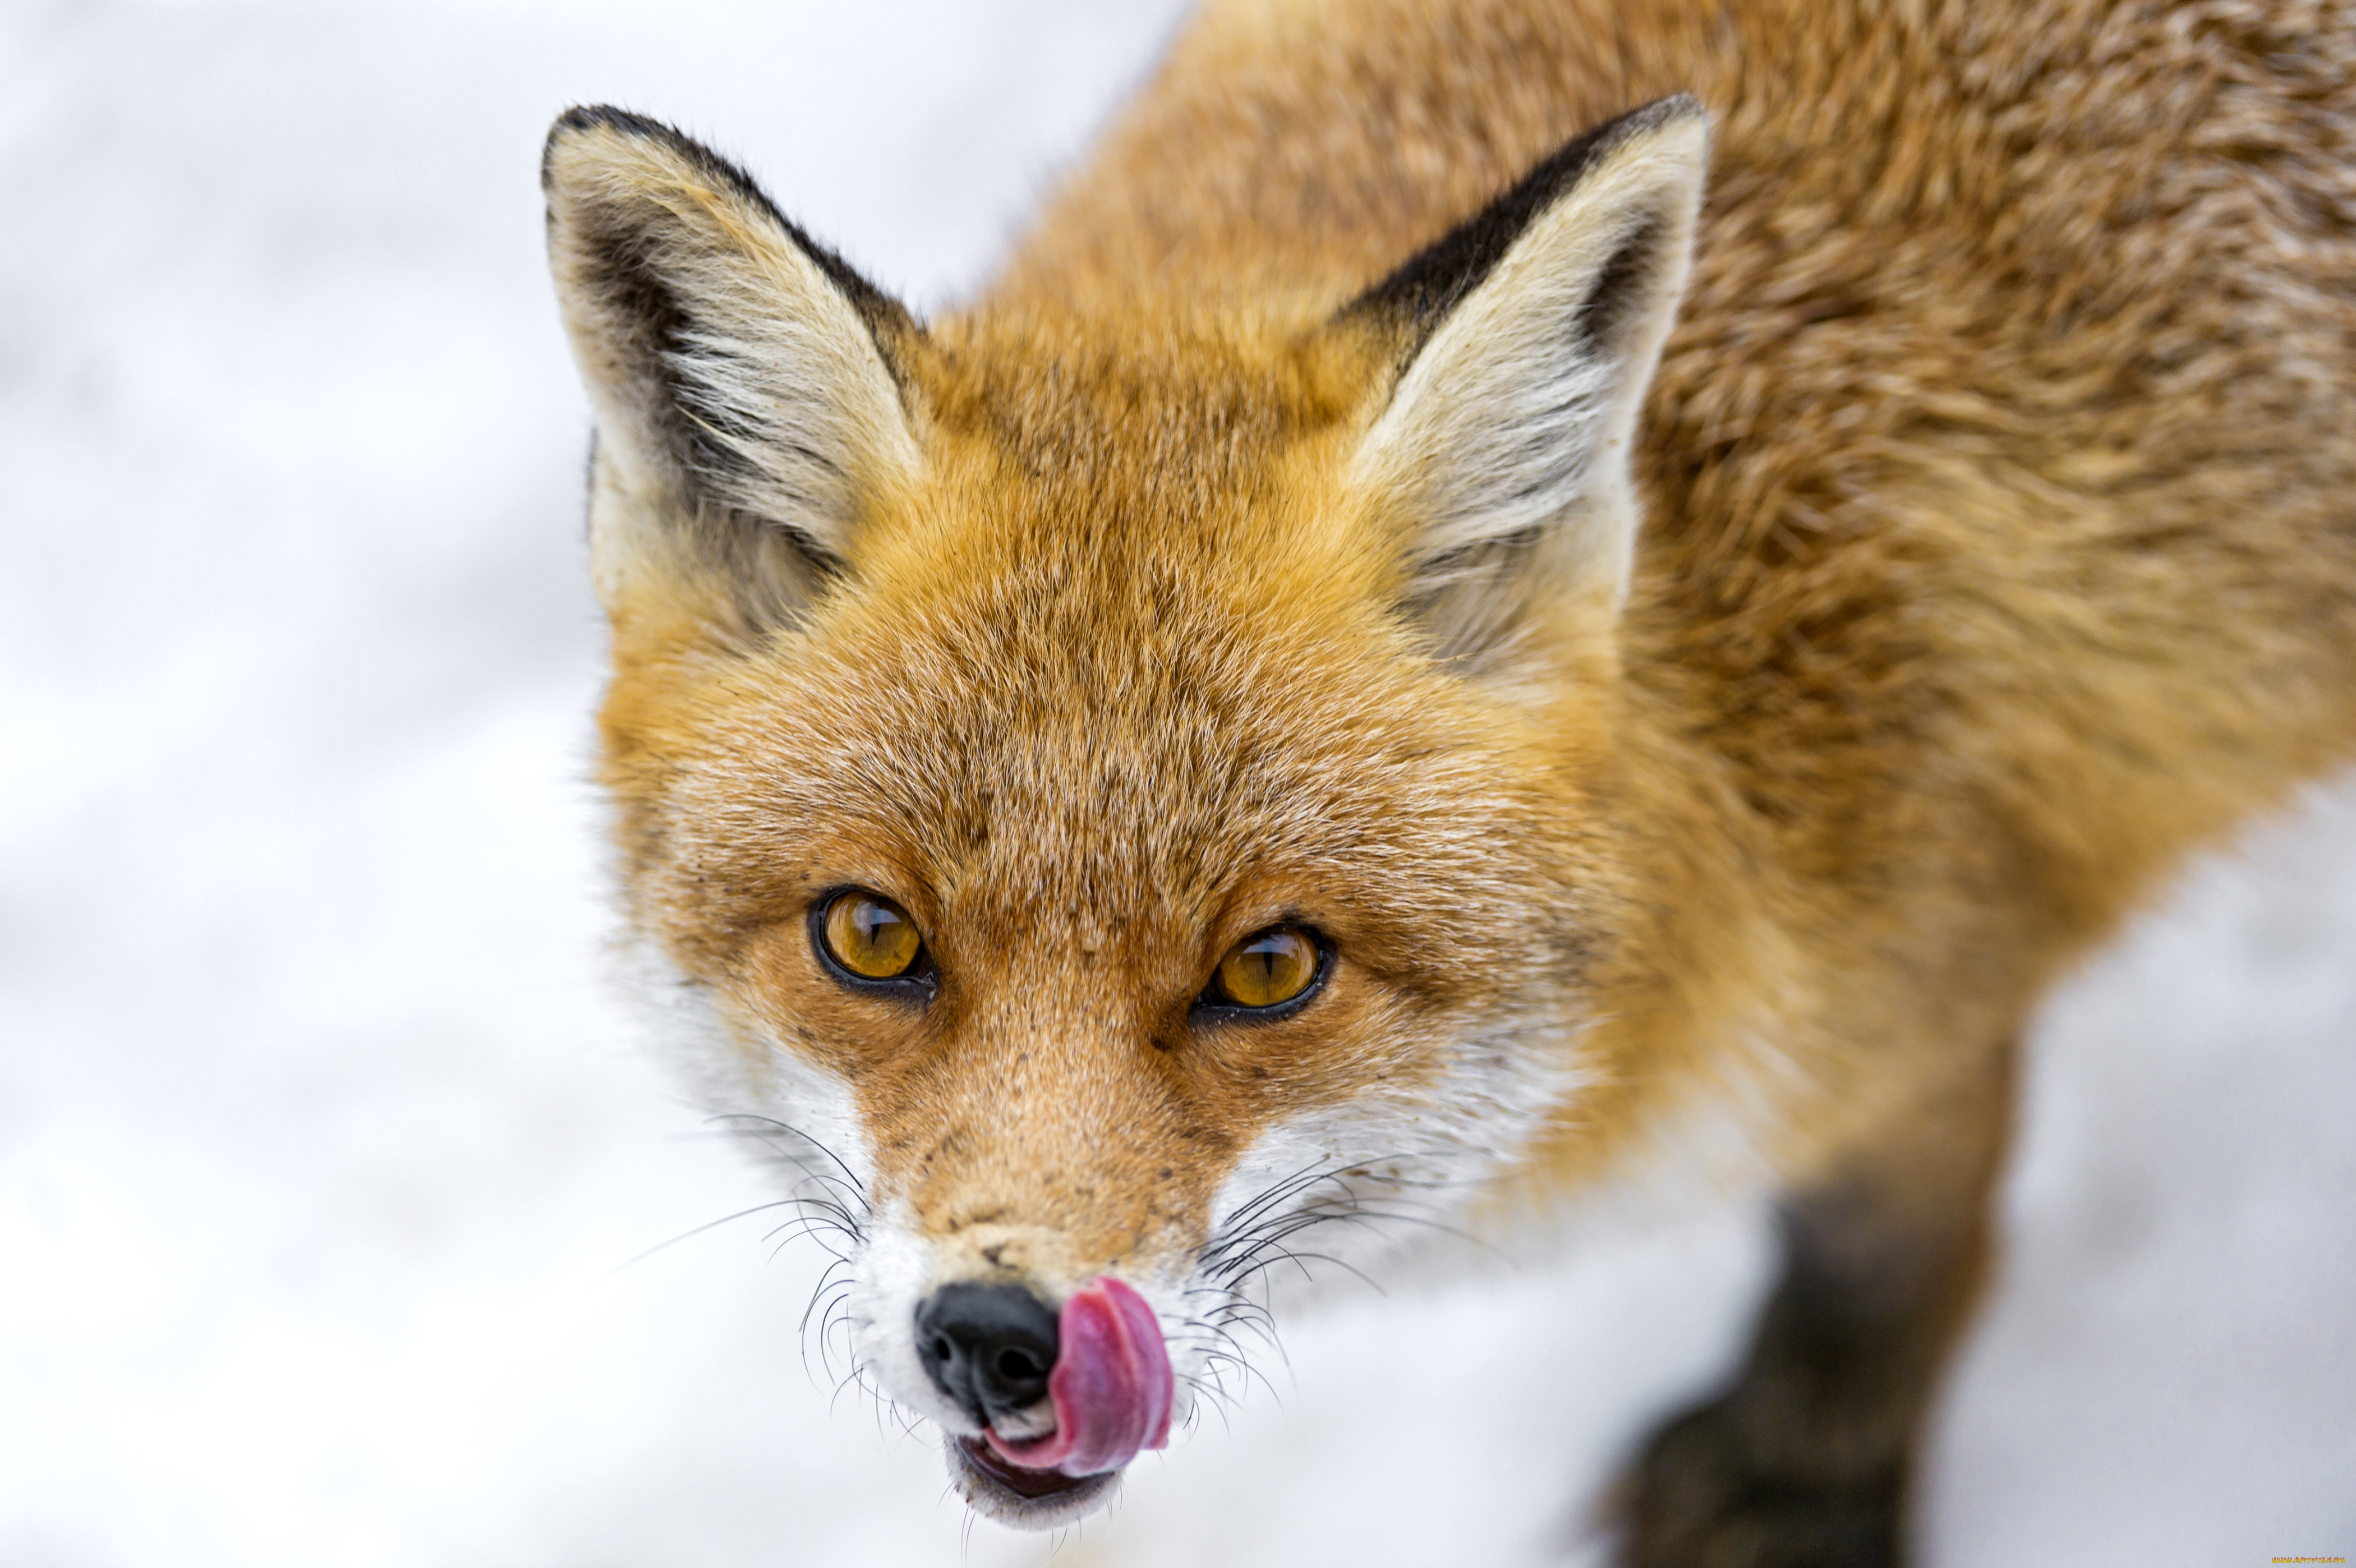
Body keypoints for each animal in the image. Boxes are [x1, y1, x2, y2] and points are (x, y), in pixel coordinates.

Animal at [539, 0, 2356, 1553]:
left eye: (1272, 967)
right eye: (871, 937)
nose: (998, 1336)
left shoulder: (1930, 957)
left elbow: (1888, 1236)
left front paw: (1801, 1477)